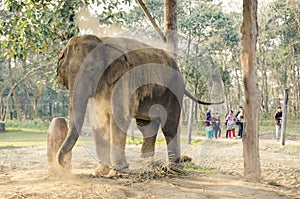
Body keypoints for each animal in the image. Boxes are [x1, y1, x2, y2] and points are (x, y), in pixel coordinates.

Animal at [57, 34, 224, 176]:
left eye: (91, 69)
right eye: (64, 71)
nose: (65, 165)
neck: (101, 41)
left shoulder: (123, 80)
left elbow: (119, 118)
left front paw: (117, 171)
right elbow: (99, 121)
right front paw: (100, 172)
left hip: (174, 89)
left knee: (169, 126)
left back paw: (175, 168)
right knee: (147, 126)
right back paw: (147, 164)